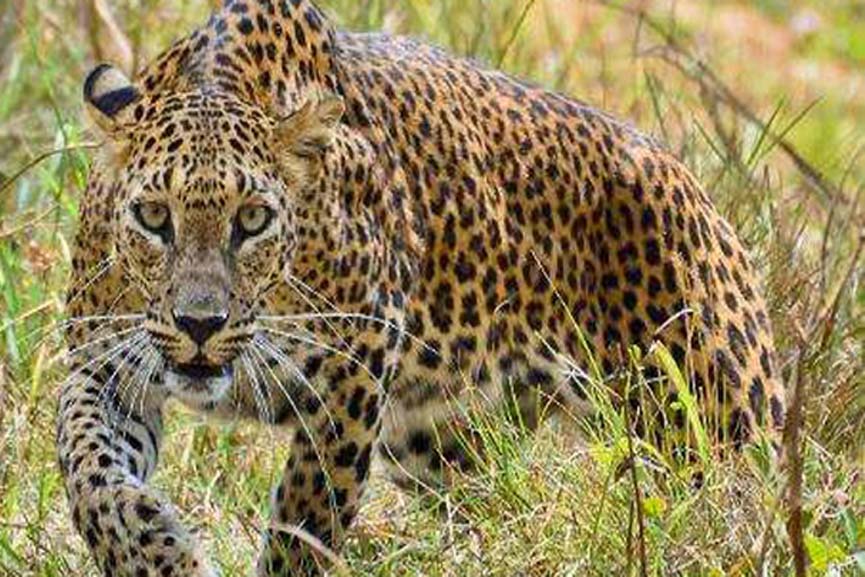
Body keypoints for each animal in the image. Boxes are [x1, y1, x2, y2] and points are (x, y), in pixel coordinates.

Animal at [57, 0, 786, 575]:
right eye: (154, 216)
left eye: (253, 219)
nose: (200, 325)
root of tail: (694, 185)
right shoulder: (104, 364)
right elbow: (88, 470)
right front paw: (155, 552)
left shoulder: (352, 373)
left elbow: (308, 514)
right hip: (438, 441)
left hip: (714, 419)